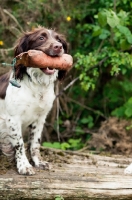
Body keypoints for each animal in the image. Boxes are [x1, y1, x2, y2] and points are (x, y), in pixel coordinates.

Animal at [0, 27, 67, 175]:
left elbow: (35, 143)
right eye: (41, 38)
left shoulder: (40, 118)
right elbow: (19, 144)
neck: (37, 85)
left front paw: (38, 162)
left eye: (59, 40)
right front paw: (24, 166)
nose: (58, 47)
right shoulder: (13, 119)